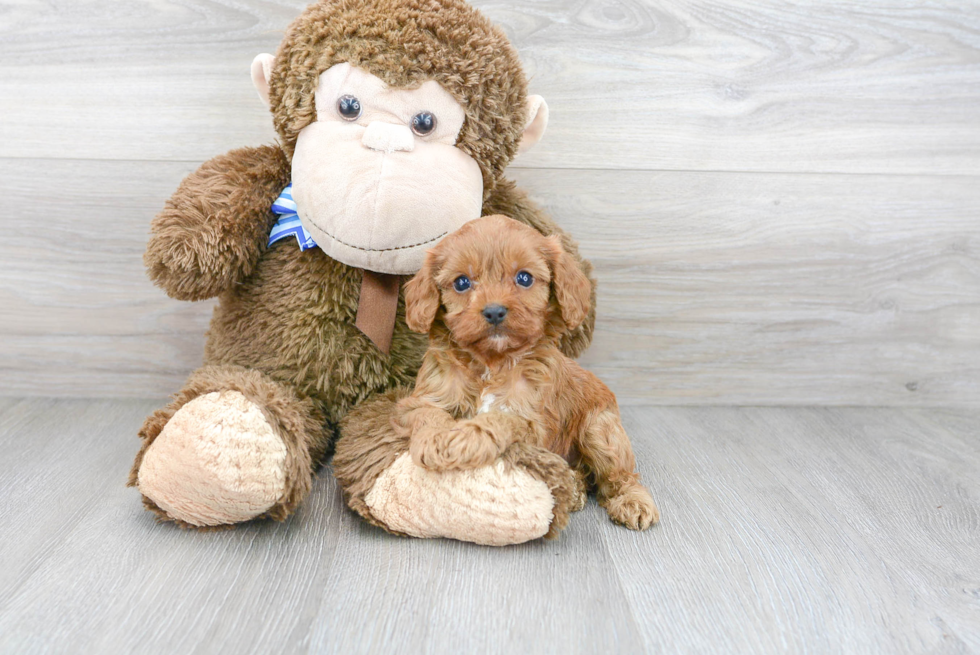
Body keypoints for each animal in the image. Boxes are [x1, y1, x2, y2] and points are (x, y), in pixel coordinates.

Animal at [396, 215, 660, 532]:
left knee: (619, 475)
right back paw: (574, 488)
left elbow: (497, 419)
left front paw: (464, 441)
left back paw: (632, 501)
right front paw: (434, 440)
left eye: (524, 278)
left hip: (601, 430)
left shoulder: (532, 421)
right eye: (462, 282)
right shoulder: (425, 398)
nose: (494, 311)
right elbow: (428, 415)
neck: (492, 363)